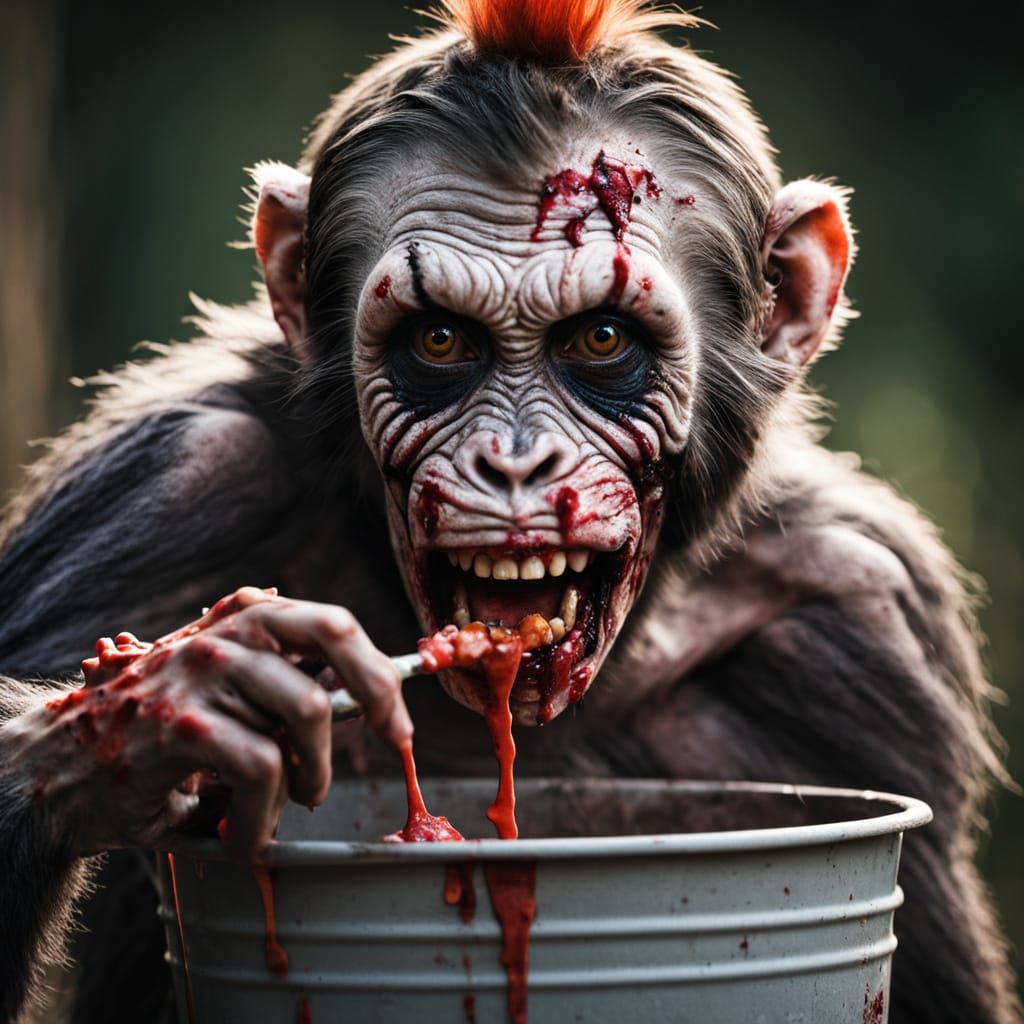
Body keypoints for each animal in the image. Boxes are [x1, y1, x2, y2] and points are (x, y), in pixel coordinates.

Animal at [0, 1, 1019, 1021]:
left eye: (601, 338)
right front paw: (171, 698)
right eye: (440, 339)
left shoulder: (865, 618)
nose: (516, 461)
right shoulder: (157, 498)